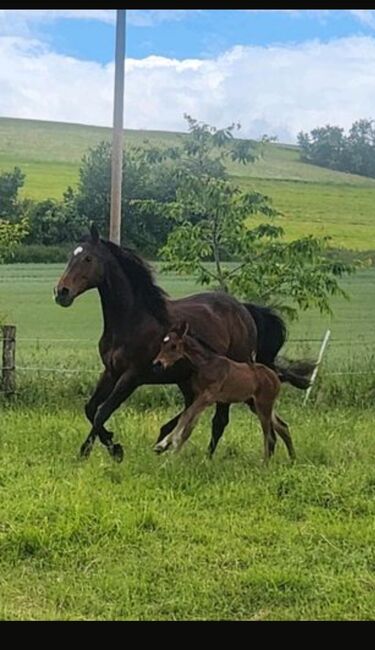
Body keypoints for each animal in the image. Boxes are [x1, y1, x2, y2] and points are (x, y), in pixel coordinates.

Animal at [153, 320, 296, 460]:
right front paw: (174, 454)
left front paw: (164, 444)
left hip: (263, 405)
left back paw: (265, 463)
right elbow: (188, 426)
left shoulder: (207, 397)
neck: (207, 364)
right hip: (256, 405)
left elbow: (186, 416)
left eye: (174, 346)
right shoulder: (199, 397)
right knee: (282, 426)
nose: (158, 363)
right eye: (162, 344)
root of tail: (276, 377)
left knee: (269, 435)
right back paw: (292, 459)